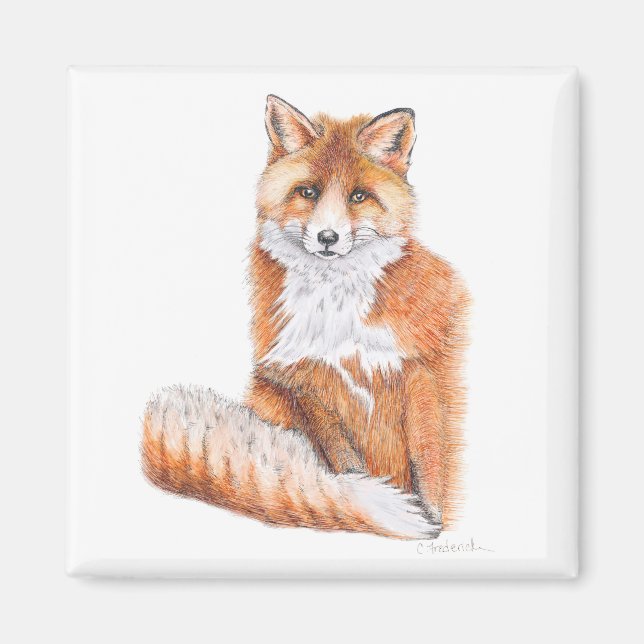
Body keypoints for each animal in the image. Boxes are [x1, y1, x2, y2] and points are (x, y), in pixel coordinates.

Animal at [141, 95, 470, 539]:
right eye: (308, 192)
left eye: (358, 197)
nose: (327, 238)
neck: (337, 316)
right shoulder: (298, 377)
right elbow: (342, 456)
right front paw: (363, 493)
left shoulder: (421, 370)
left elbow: (429, 452)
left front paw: (434, 515)